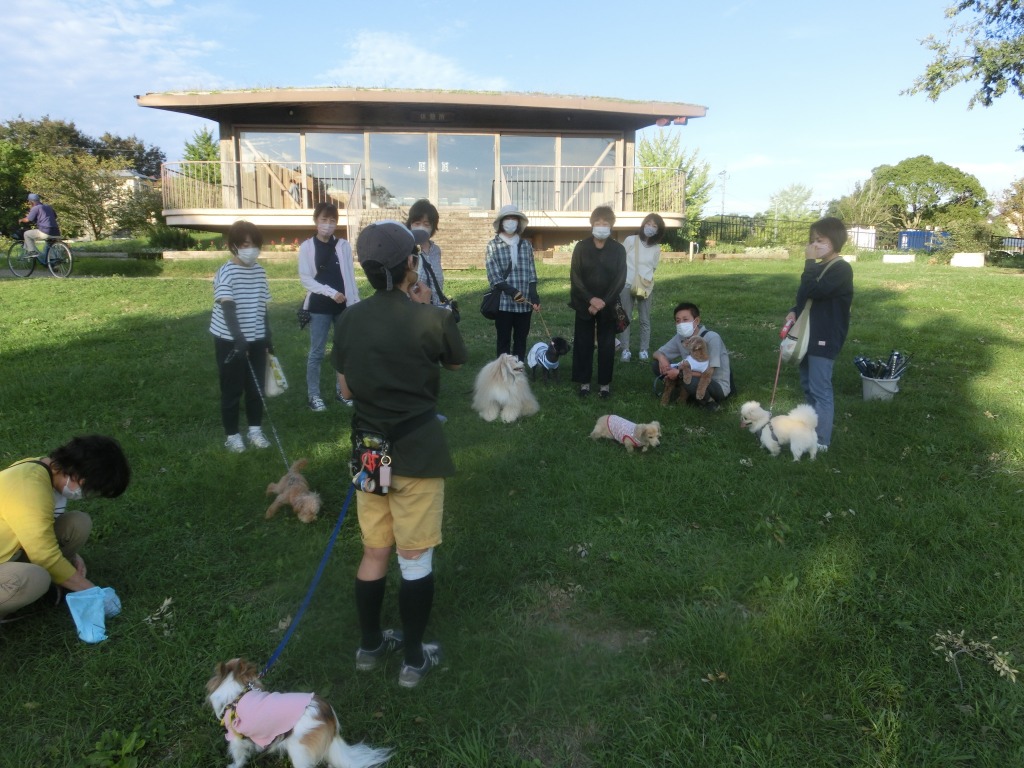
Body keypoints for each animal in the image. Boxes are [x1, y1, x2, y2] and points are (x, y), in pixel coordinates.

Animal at [206, 658, 391, 768]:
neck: (236, 695)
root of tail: (329, 717)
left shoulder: (235, 737)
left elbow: (238, 756)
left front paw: (234, 766)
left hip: (298, 749)